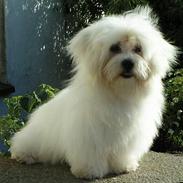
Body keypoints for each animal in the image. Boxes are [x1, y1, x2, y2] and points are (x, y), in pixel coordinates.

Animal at [10, 6, 177, 179]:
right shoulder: (89, 132)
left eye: (138, 49)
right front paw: (88, 171)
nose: (128, 63)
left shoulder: (129, 135)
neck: (118, 91)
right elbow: (90, 152)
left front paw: (123, 166)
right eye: (114, 48)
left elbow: (122, 152)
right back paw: (24, 155)